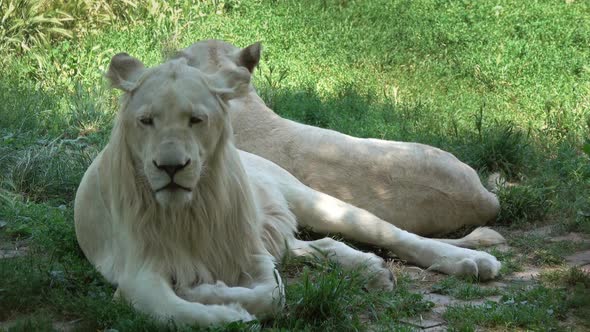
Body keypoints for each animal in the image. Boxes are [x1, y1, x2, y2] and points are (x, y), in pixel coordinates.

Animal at [75, 52, 504, 326]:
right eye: (146, 120)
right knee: (315, 246)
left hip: (318, 202)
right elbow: (173, 311)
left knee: (397, 236)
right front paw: (222, 312)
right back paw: (371, 271)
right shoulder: (138, 273)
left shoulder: (249, 253)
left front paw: (212, 294)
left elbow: (271, 293)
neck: (191, 211)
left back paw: (470, 262)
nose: (170, 167)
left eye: (196, 119)